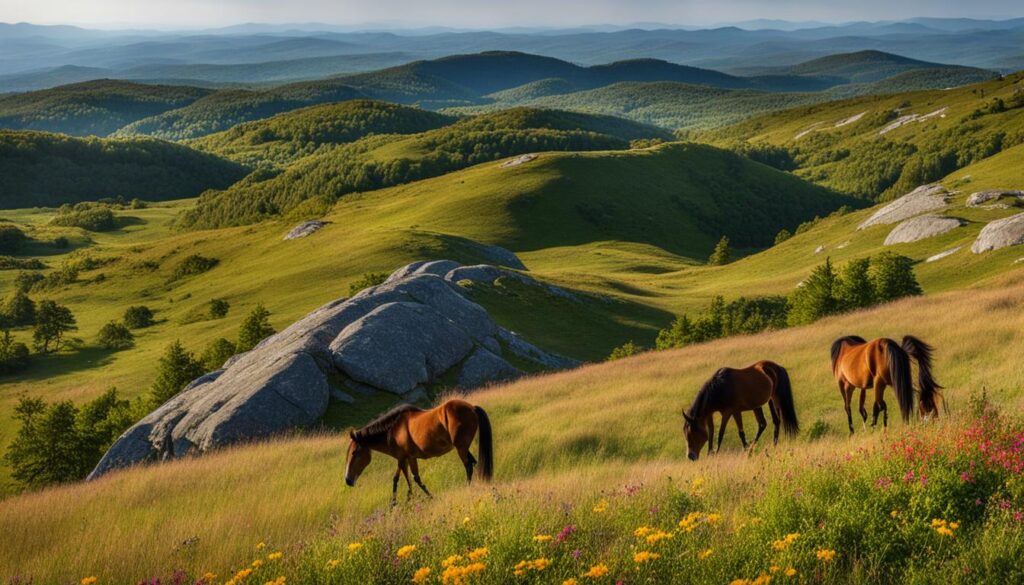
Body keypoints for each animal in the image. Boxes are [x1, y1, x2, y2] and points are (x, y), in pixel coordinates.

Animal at [342, 401, 493, 506]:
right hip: (463, 448)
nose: (348, 480)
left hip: (461, 448)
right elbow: (403, 479)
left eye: (354, 453)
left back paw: (467, 487)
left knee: (468, 466)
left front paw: (424, 497)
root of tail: (472, 407)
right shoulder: (404, 459)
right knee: (473, 463)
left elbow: (410, 479)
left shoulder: (405, 458)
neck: (393, 430)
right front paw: (402, 500)